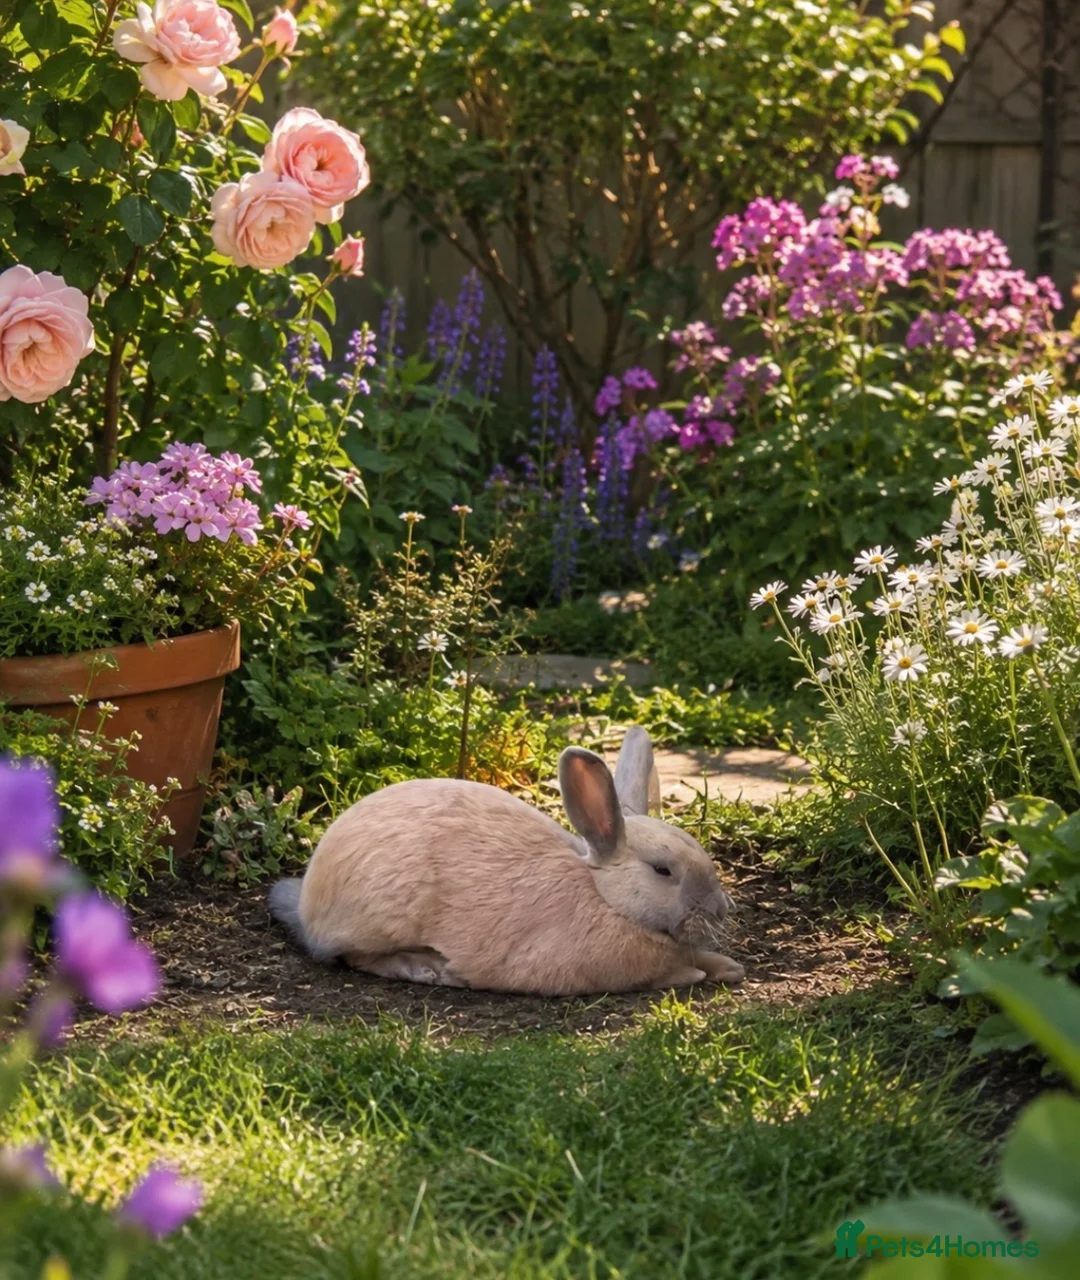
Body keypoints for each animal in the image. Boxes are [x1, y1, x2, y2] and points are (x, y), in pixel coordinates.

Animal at [268, 725, 744, 995]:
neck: (606, 898)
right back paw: (427, 969)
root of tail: (308, 905)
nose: (719, 910)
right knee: (353, 958)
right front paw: (693, 976)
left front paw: (728, 968)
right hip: (379, 918)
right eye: (662, 871)